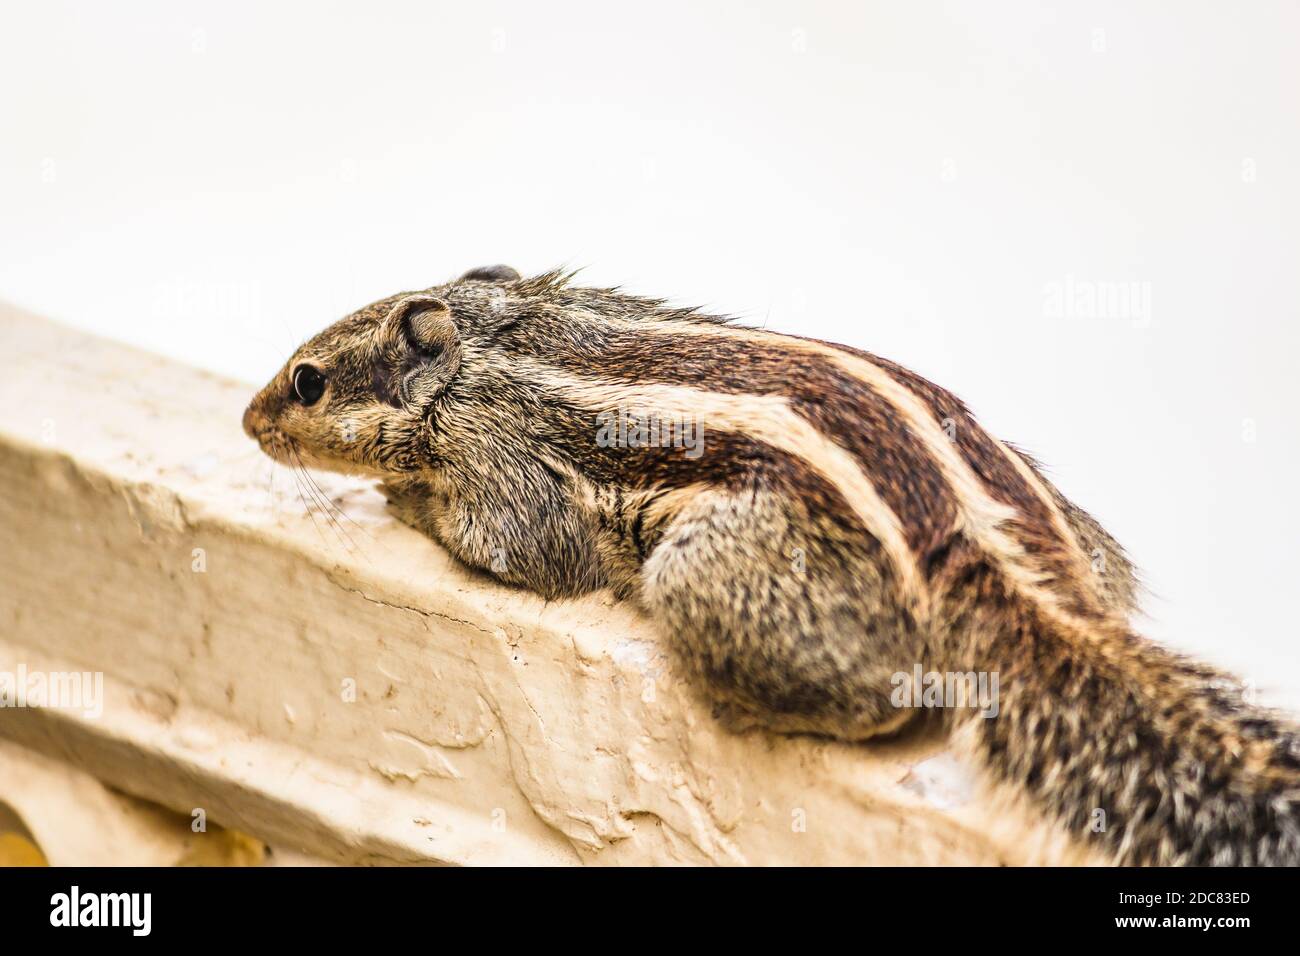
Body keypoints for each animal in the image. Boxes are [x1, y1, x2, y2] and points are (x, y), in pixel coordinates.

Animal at [244, 265, 1300, 866]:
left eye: (307, 381)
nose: (250, 421)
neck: (496, 337)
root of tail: (1005, 568)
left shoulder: (508, 469)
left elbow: (526, 551)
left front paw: (396, 498)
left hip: (713, 577)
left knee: (879, 704)